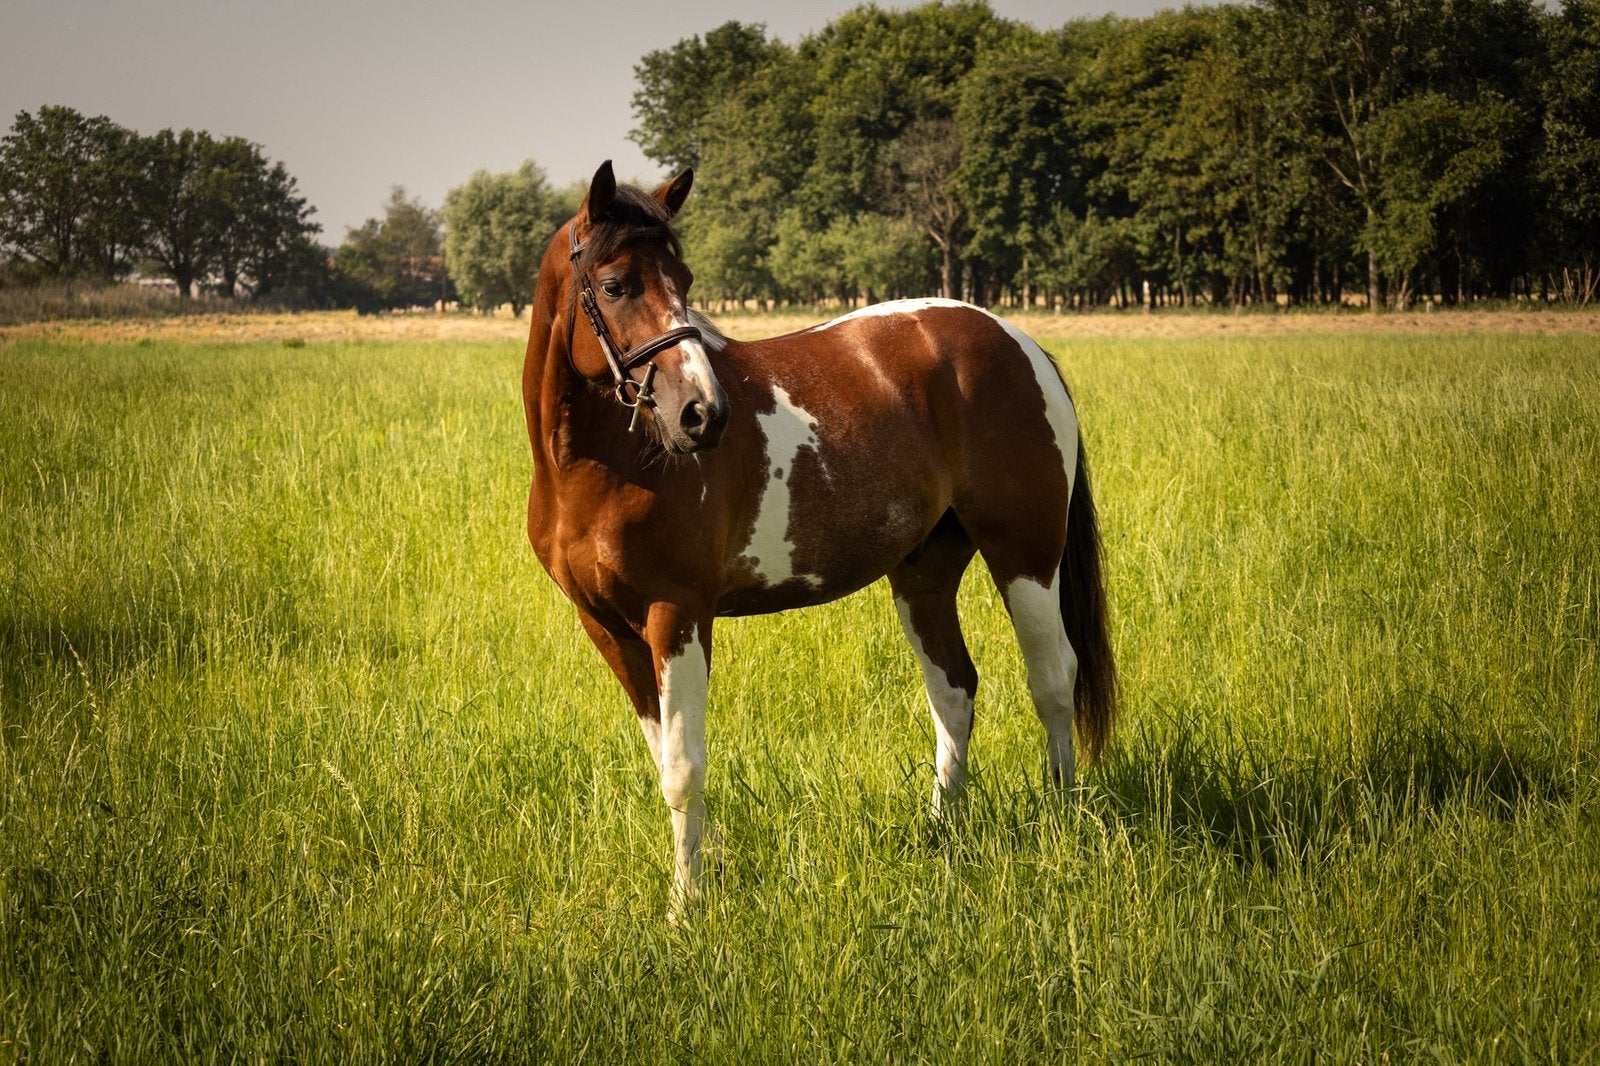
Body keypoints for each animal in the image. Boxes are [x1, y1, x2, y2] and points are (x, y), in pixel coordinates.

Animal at [522, 161, 1116, 914]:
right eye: (615, 284)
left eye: (683, 279)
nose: (703, 414)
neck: (601, 464)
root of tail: (1022, 344)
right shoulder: (606, 625)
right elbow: (664, 754)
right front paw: (711, 868)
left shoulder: (676, 614)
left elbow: (683, 766)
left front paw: (686, 906)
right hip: (924, 572)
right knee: (953, 690)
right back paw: (939, 834)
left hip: (1025, 555)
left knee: (1052, 679)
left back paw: (1064, 820)